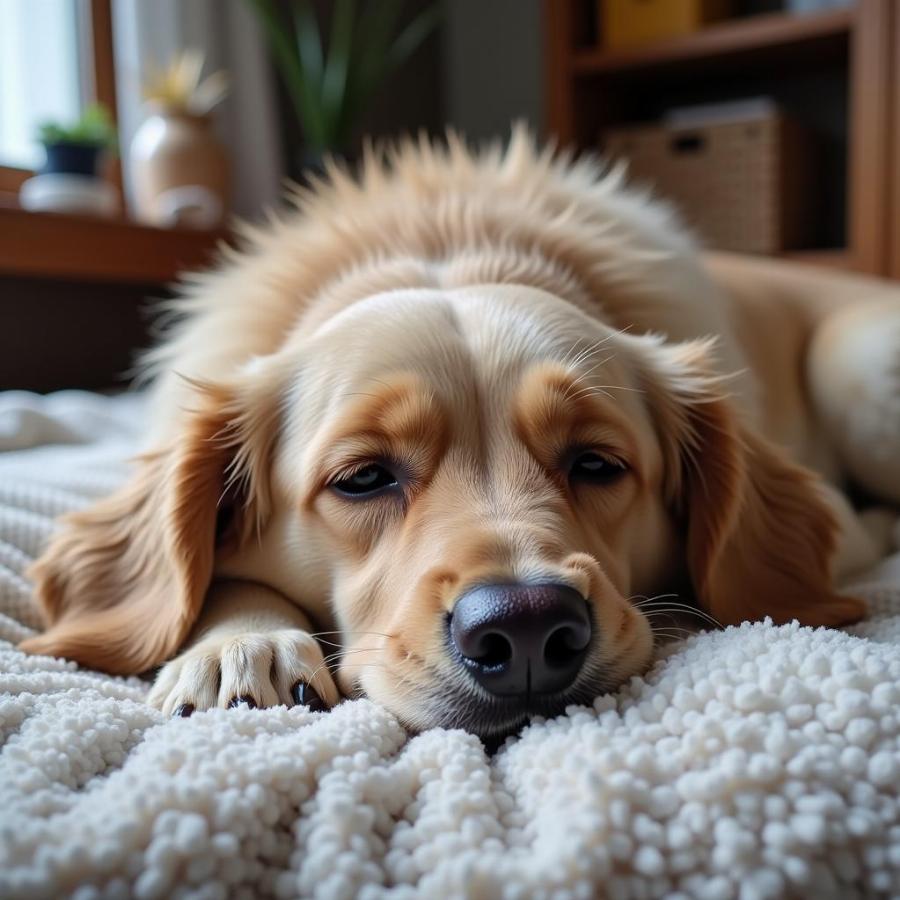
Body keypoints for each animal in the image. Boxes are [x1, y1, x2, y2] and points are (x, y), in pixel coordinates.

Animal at [19, 132, 900, 740]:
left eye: (597, 463)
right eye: (363, 478)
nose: (528, 628)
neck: (447, 251)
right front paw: (242, 644)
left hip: (856, 366)